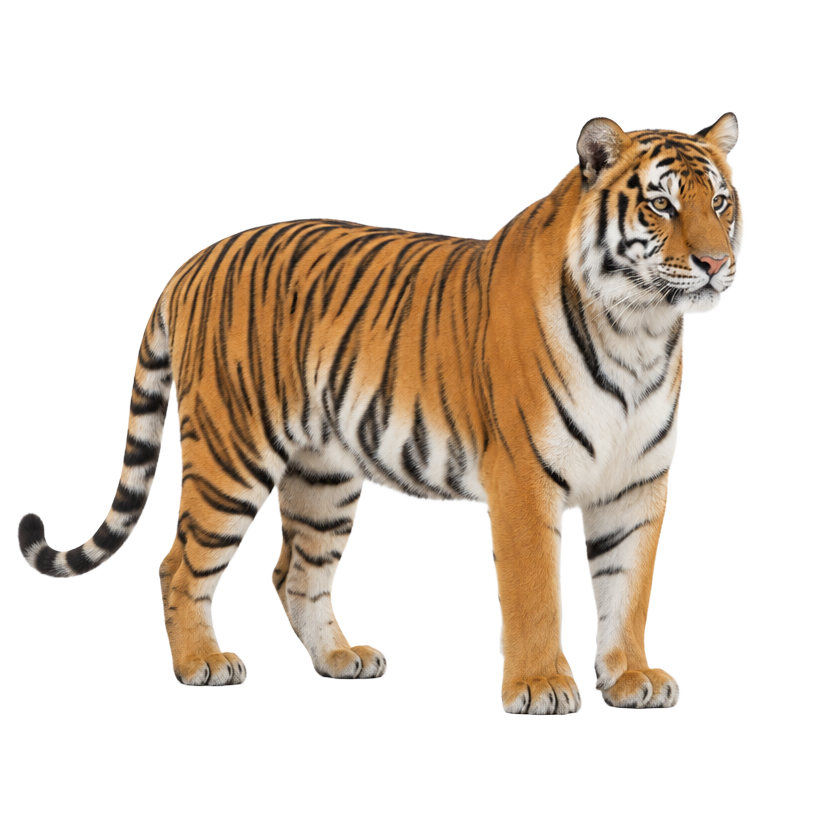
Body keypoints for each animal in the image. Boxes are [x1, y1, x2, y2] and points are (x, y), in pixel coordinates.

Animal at [16, 113, 741, 711]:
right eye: (660, 204)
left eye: (719, 202)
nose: (716, 262)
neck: (638, 330)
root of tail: (191, 263)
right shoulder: (524, 479)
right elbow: (535, 592)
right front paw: (540, 686)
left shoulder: (636, 483)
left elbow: (628, 588)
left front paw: (629, 678)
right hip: (233, 454)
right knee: (180, 563)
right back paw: (204, 664)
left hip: (324, 475)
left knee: (295, 573)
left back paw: (341, 658)